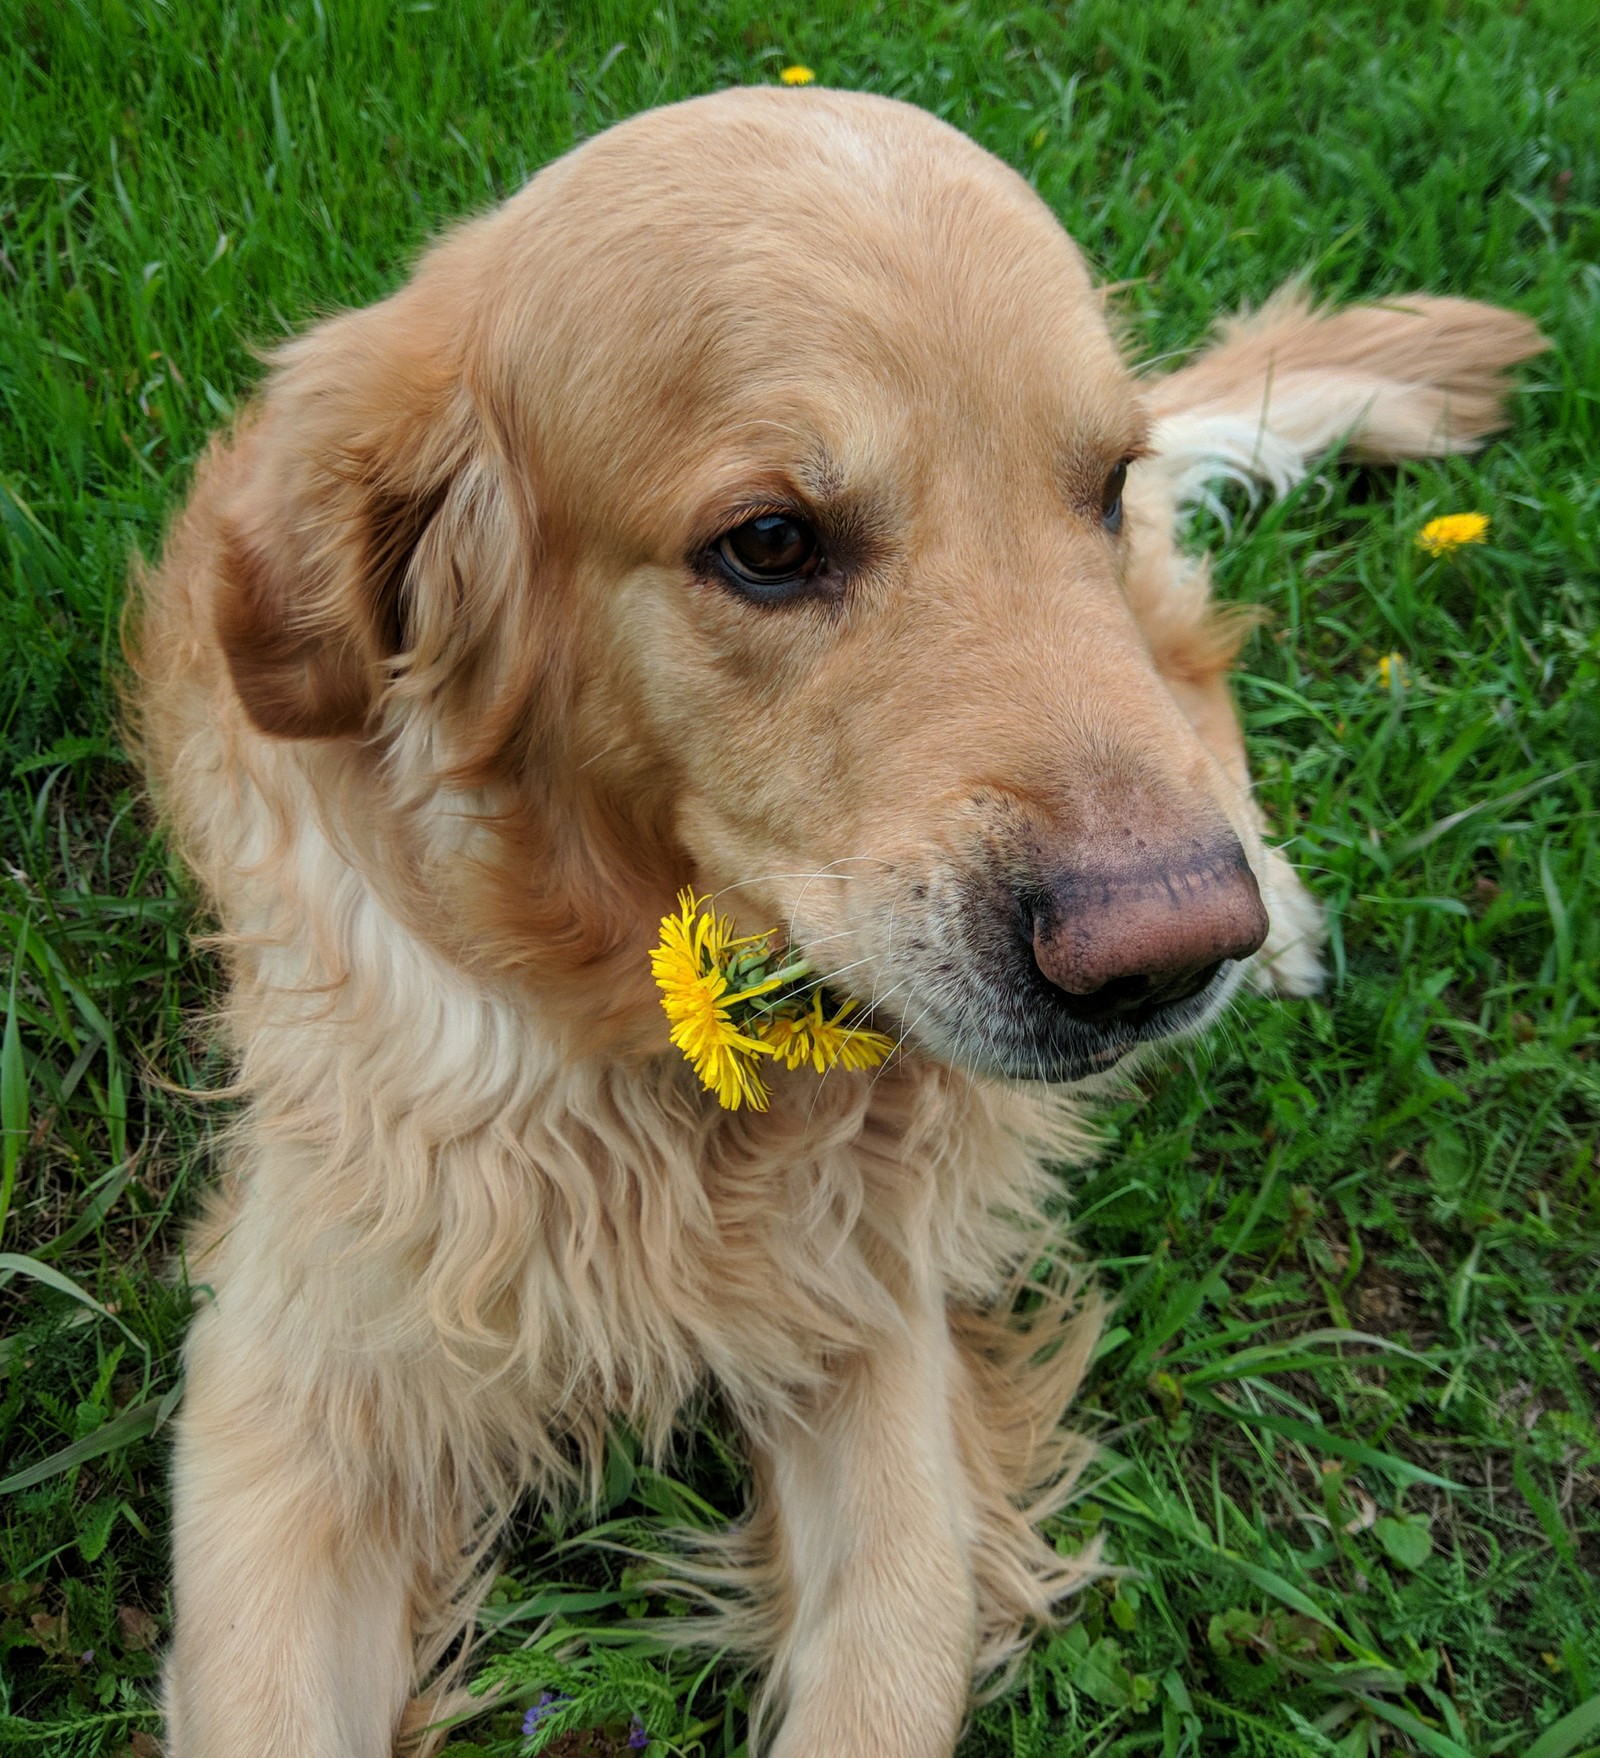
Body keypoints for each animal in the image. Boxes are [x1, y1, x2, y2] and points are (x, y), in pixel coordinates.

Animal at [131, 89, 1547, 1758]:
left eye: (1096, 486)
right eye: (769, 543)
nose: (1171, 952)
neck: (641, 1055)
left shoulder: (881, 1324)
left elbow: (894, 1655)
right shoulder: (294, 1382)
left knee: (1202, 697)